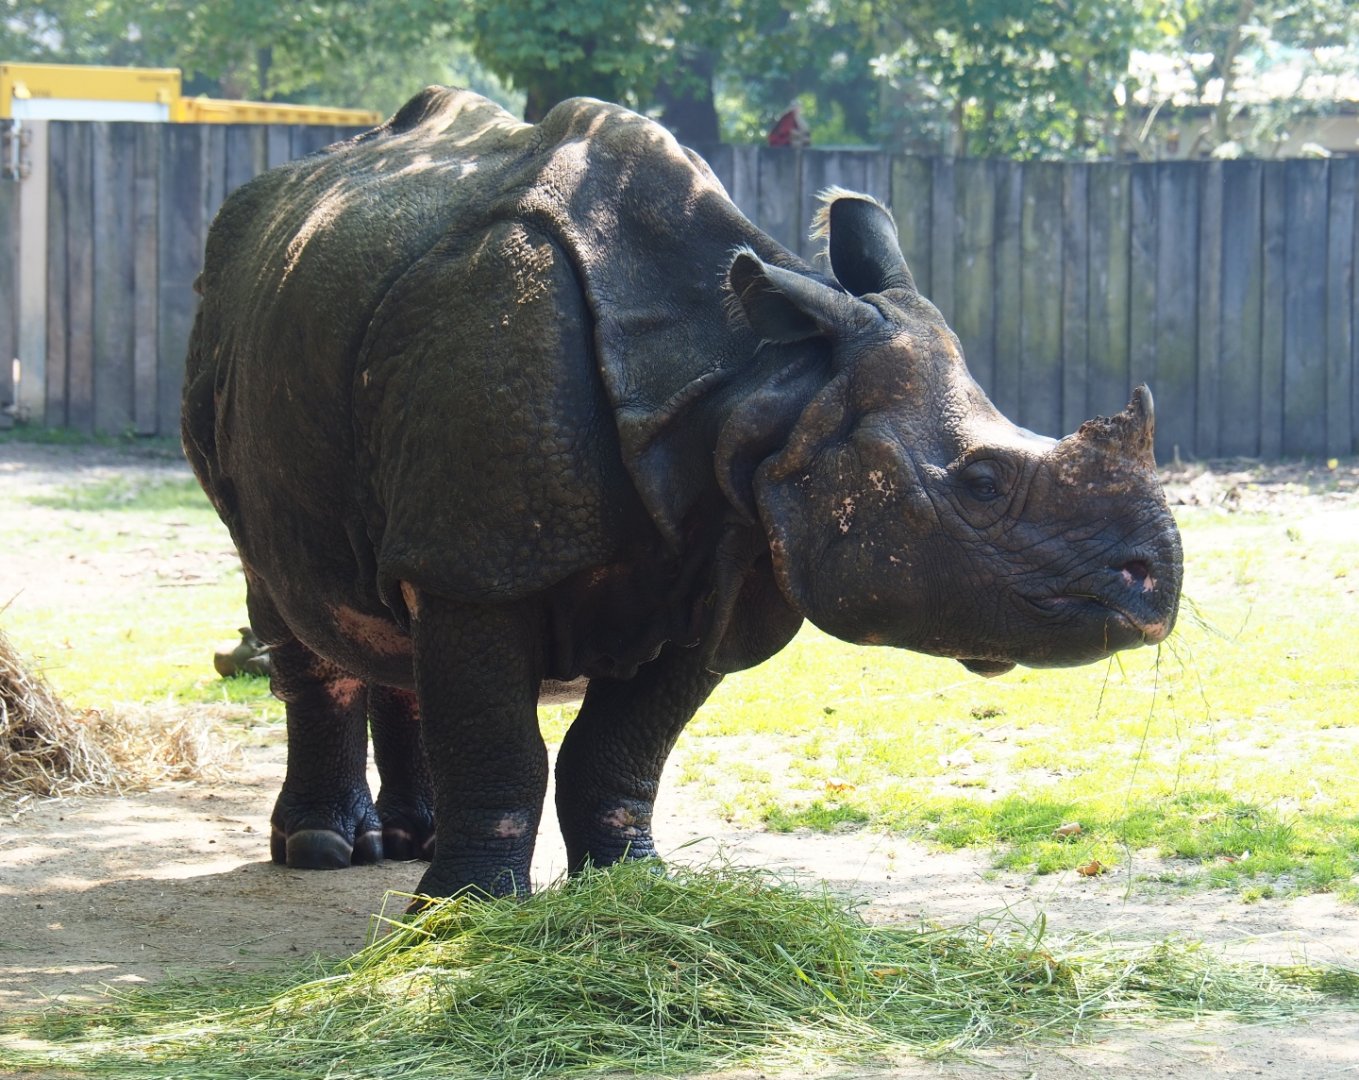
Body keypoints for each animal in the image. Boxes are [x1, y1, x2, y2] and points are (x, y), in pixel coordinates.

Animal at [182, 87, 1182, 900]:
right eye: (981, 482)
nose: (1153, 591)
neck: (762, 387)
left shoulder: (729, 557)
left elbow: (621, 749)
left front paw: (633, 890)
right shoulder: (485, 557)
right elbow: (501, 742)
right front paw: (463, 917)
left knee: (387, 590)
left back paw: (406, 841)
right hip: (226, 344)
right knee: (283, 582)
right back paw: (321, 850)